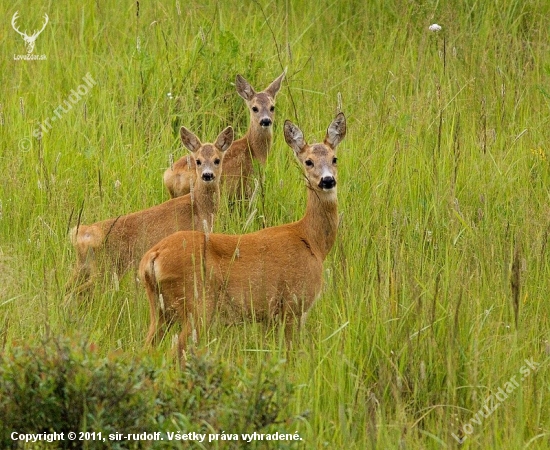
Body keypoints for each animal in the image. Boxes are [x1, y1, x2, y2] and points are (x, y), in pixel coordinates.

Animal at [68, 126, 234, 296]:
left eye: (217, 160)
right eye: (198, 161)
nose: (207, 175)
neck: (199, 208)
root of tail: (84, 235)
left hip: (83, 267)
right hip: (106, 269)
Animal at [140, 113, 348, 358]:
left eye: (334, 158)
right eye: (308, 161)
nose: (327, 180)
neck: (312, 241)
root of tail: (152, 257)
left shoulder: (270, 317)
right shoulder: (294, 304)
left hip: (159, 312)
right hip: (197, 308)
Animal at [163, 71, 284, 199]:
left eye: (272, 107)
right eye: (254, 108)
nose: (265, 120)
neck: (254, 150)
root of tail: (174, 177)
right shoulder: (247, 188)